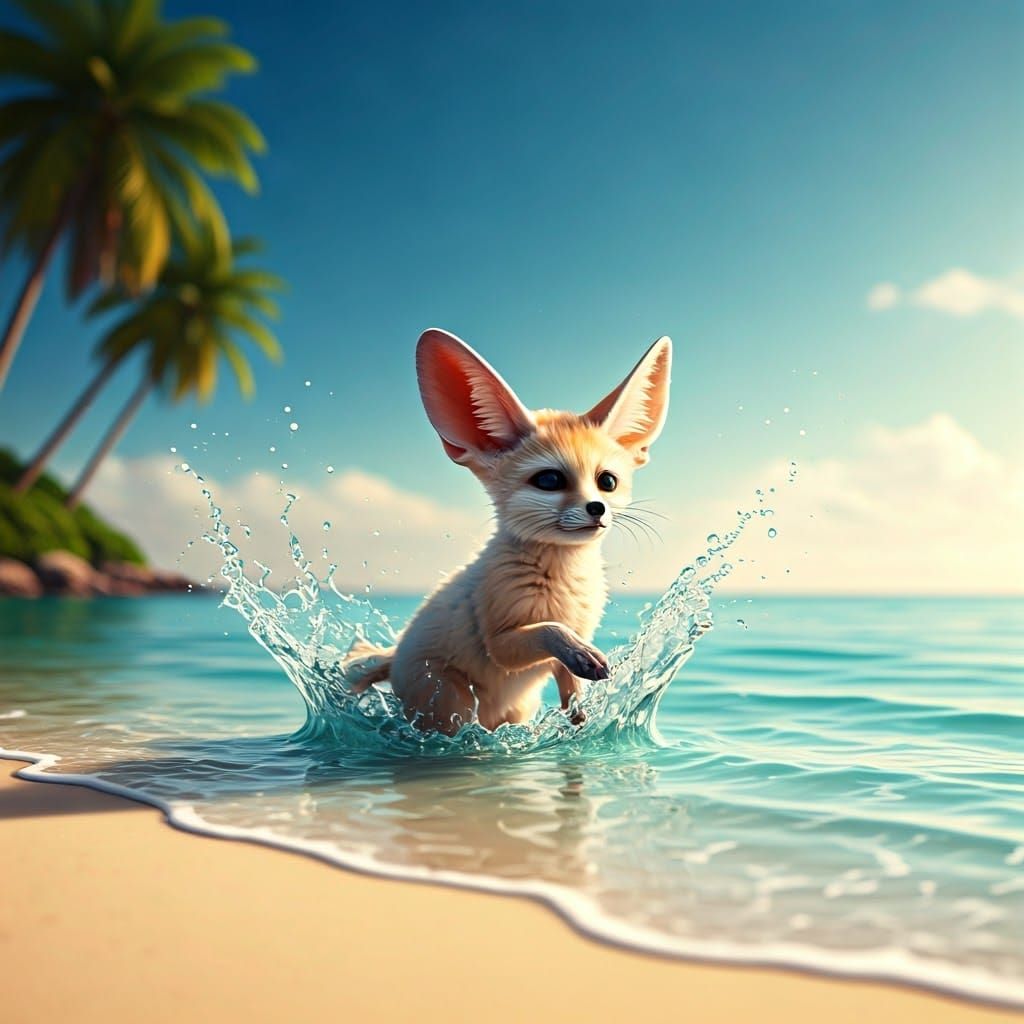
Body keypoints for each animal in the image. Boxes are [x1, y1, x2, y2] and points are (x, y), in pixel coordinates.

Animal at [344, 328, 672, 735]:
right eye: (549, 480)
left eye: (607, 482)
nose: (597, 509)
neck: (562, 577)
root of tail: (395, 658)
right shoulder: (500, 641)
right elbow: (549, 629)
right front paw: (581, 655)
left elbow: (567, 676)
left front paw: (577, 709)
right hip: (452, 701)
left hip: (516, 708)